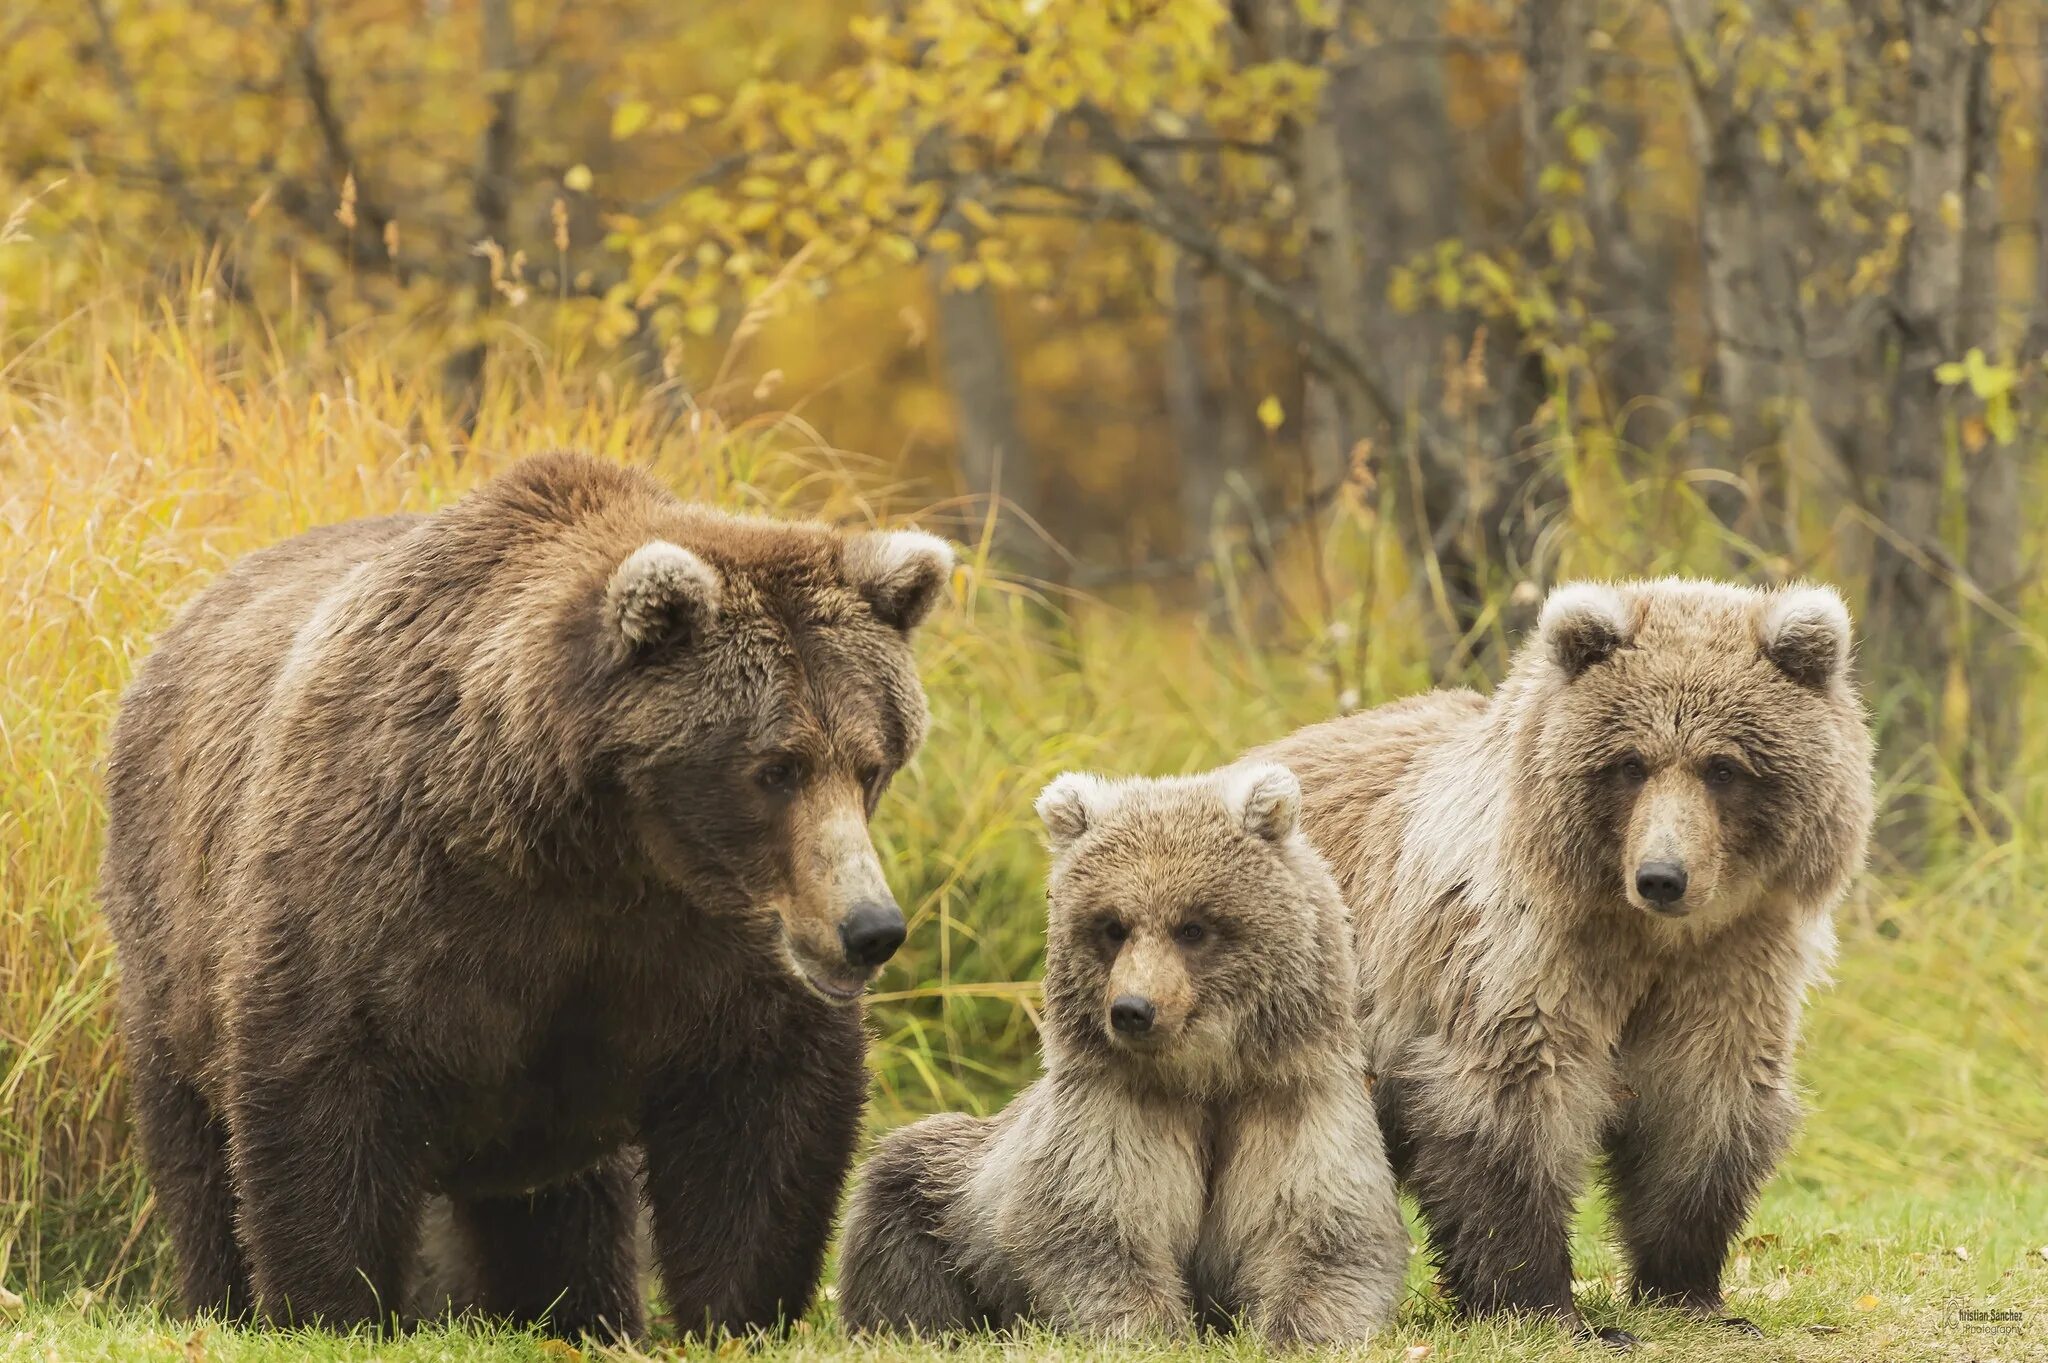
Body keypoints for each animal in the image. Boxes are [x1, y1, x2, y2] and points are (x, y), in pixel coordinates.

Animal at [99, 450, 954, 1334]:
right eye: (776, 766)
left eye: (871, 762)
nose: (870, 928)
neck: (587, 844)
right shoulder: (386, 886)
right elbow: (321, 1084)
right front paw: (328, 1305)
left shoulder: (698, 946)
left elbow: (764, 1111)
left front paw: (736, 1310)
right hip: (169, 927)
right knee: (196, 1146)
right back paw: (222, 1295)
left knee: (561, 1213)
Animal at [1245, 573, 1875, 1334]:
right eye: (1631, 762)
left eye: (1723, 766)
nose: (1662, 875)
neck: (1644, 936)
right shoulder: (1525, 949)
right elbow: (1513, 1100)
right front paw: (1545, 1302)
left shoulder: (1735, 957)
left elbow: (1706, 1101)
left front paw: (1691, 1289)